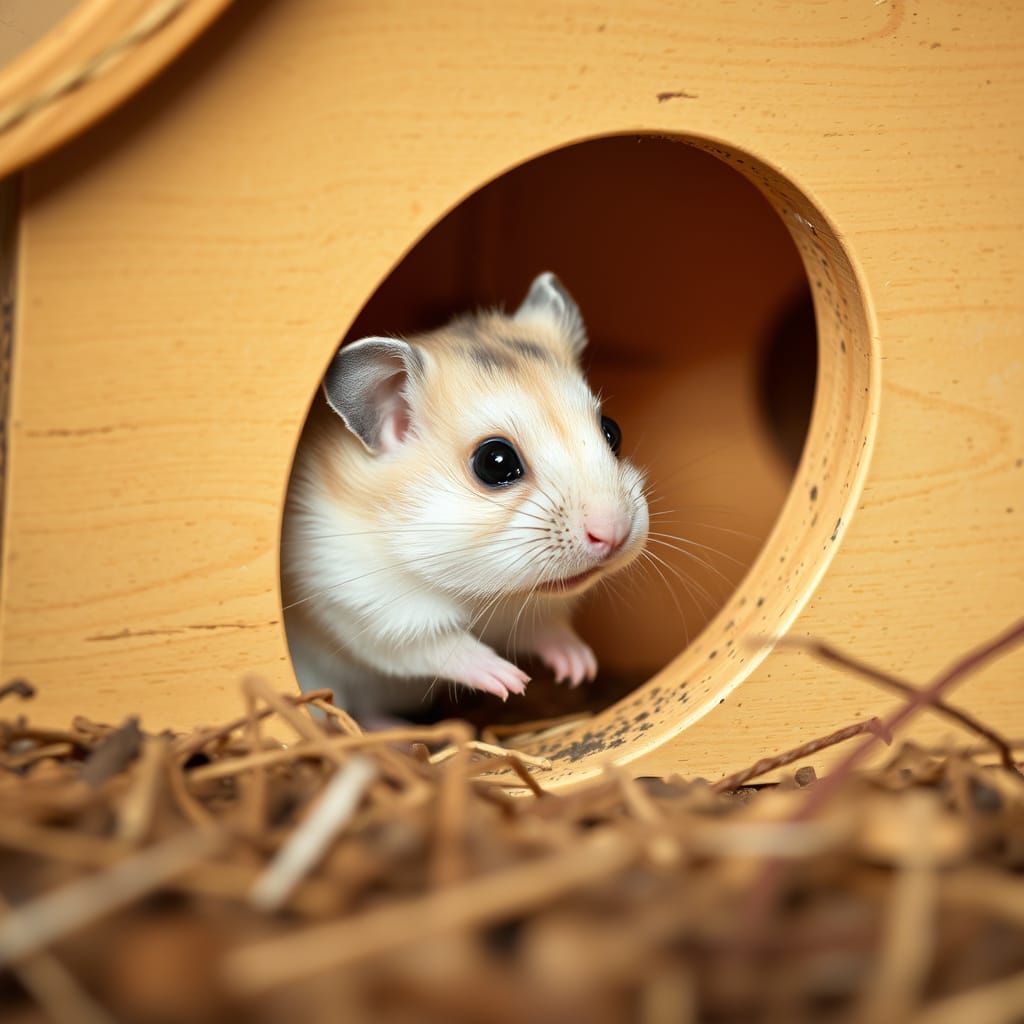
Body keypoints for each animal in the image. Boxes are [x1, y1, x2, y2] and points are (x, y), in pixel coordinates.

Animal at [281, 273, 649, 719]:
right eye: (495, 462)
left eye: (612, 431)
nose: (613, 534)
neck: (485, 593)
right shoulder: (371, 610)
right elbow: (440, 644)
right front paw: (512, 682)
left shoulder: (531, 614)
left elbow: (546, 629)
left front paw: (580, 669)